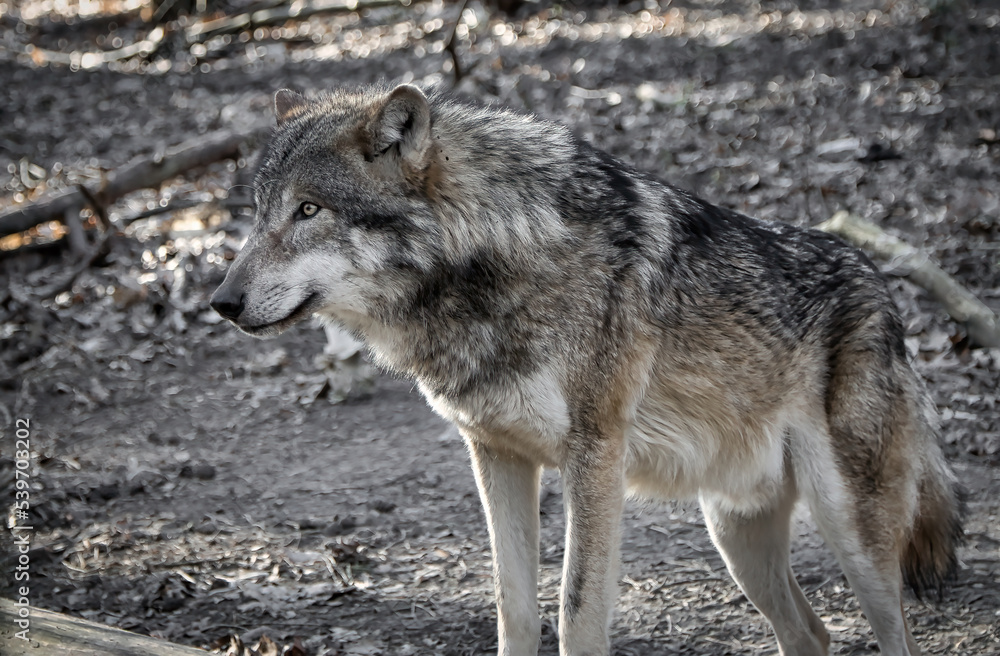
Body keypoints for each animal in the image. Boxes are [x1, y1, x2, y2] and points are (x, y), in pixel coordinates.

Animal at [209, 84, 960, 652]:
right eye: (259, 215)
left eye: (308, 210)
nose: (222, 301)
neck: (491, 255)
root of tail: (885, 292)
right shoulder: (496, 453)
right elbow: (514, 608)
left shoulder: (594, 455)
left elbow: (577, 613)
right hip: (733, 534)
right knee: (813, 633)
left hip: (851, 534)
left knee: (891, 636)